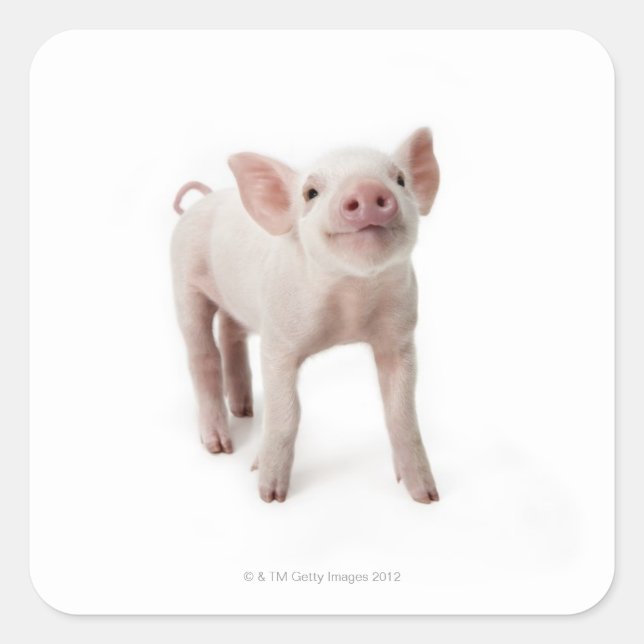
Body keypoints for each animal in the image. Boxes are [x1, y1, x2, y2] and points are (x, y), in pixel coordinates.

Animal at [170, 128, 440, 504]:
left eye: (400, 179)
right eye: (311, 192)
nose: (367, 189)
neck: (350, 300)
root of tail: (204, 199)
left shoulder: (400, 337)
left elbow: (401, 412)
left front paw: (426, 496)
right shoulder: (278, 341)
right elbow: (286, 413)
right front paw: (269, 496)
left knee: (230, 334)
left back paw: (244, 410)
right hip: (184, 283)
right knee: (202, 357)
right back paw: (220, 447)